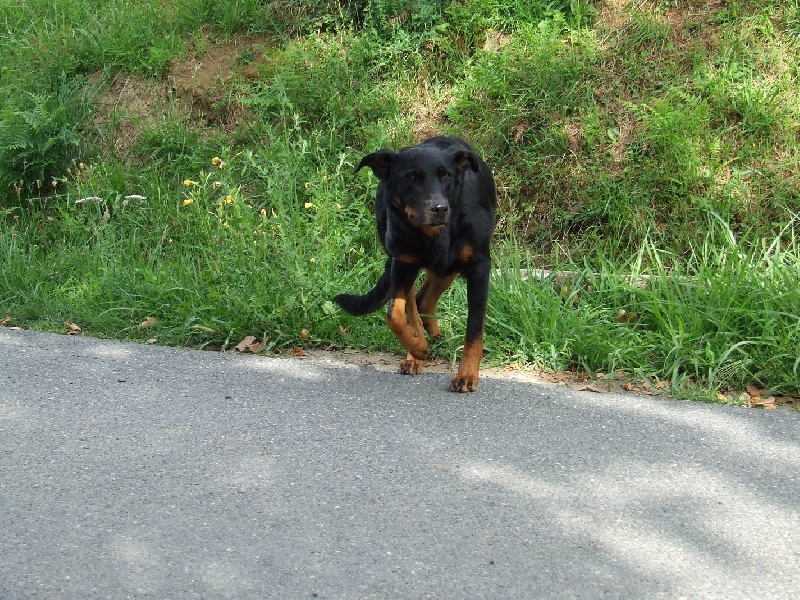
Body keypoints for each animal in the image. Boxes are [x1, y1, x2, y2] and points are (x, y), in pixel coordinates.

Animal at [332, 135, 494, 394]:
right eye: (412, 177)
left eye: (446, 175)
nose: (439, 209)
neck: (433, 234)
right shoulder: (402, 262)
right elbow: (394, 316)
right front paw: (417, 347)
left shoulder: (479, 267)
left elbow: (474, 328)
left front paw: (467, 375)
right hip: (409, 263)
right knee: (414, 302)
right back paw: (416, 351)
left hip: (447, 268)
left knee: (424, 300)